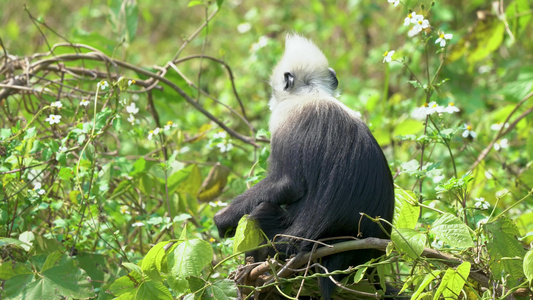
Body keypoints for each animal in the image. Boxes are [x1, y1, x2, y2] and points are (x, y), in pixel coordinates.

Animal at [213, 34, 394, 298]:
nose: (270, 100)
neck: (312, 93)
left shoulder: (283, 118)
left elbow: (287, 185)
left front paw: (222, 220)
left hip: (288, 246)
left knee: (261, 211)